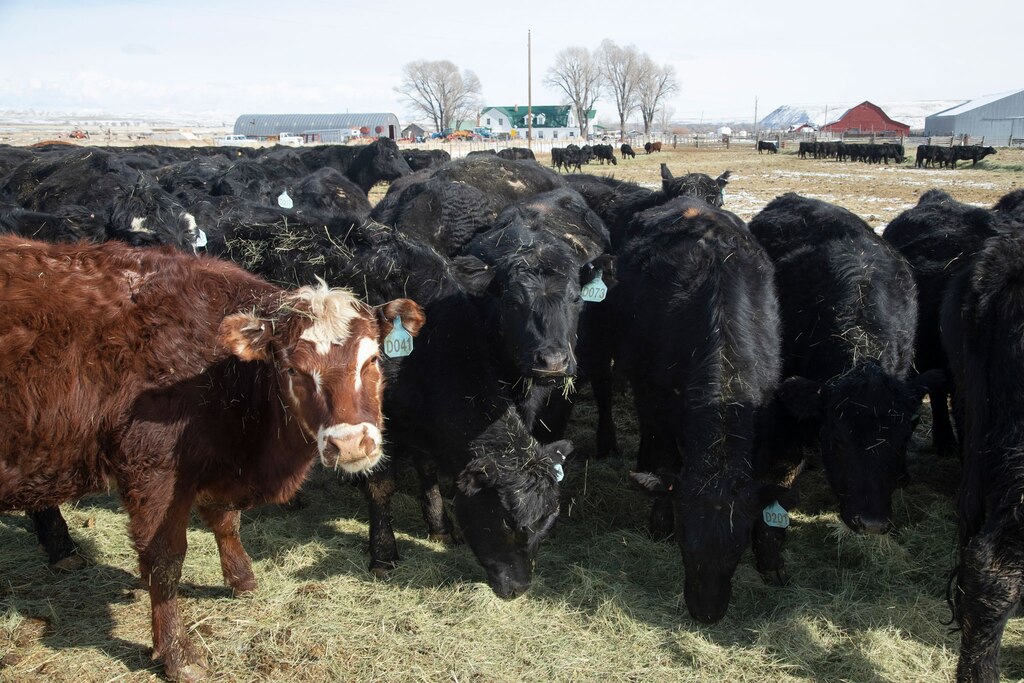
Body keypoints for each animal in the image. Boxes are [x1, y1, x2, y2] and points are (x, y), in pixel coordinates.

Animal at [0, 236, 423, 683]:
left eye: (372, 359)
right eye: (293, 369)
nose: (352, 444)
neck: (217, 369)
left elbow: (225, 521)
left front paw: (242, 578)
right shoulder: (154, 473)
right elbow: (164, 560)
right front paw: (176, 652)